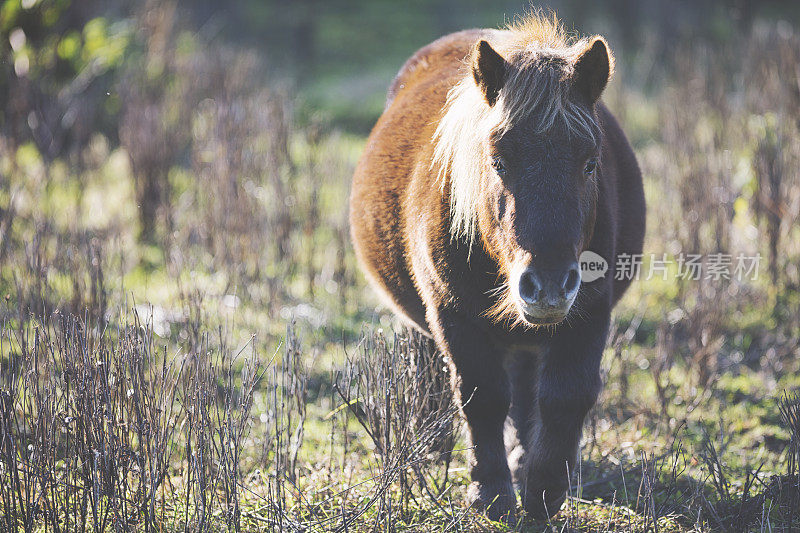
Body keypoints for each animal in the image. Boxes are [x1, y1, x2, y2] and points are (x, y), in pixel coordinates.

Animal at [350, 12, 644, 520]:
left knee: (527, 386)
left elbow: (566, 395)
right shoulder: (452, 315)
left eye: (590, 164)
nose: (548, 285)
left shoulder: (589, 312)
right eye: (498, 162)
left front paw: (544, 490)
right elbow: (481, 396)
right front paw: (491, 494)